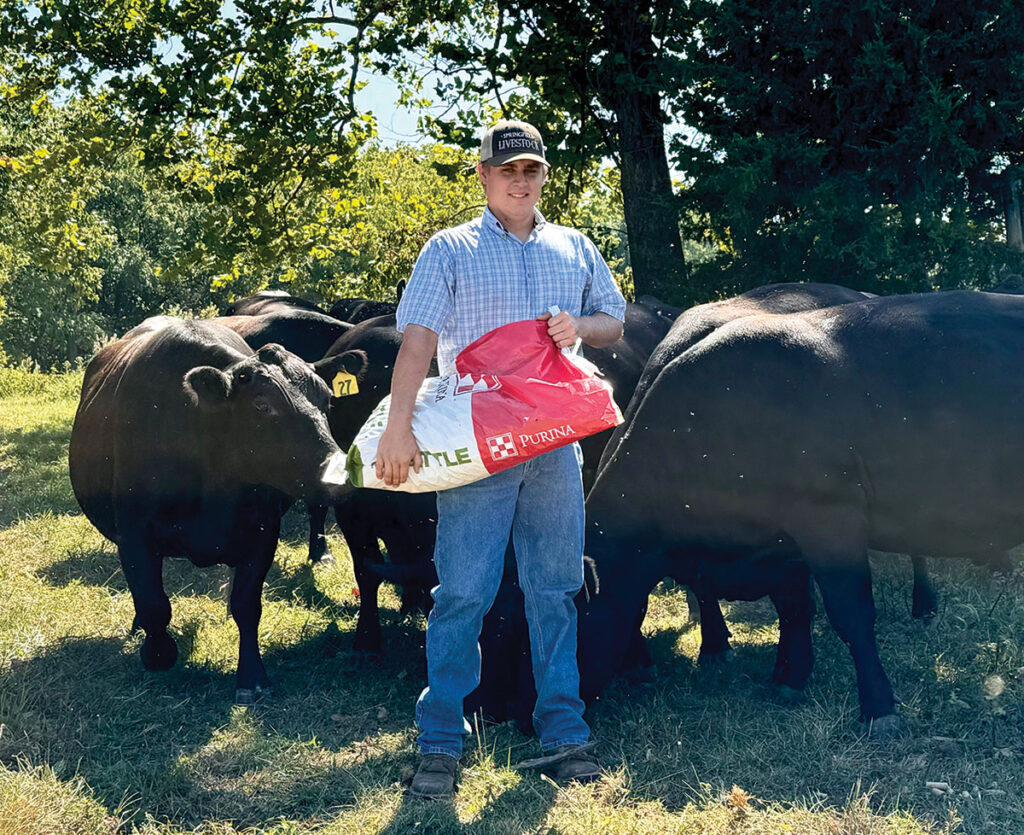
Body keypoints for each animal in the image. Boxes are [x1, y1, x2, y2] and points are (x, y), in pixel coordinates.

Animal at [67, 317, 364, 700]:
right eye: (262, 406)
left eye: (327, 399)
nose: (340, 475)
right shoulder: (134, 535)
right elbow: (153, 603)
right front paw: (157, 653)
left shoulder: (262, 532)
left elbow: (246, 605)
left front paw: (252, 675)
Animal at [577, 293, 1024, 737]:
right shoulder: (783, 541)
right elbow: (793, 608)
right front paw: (789, 679)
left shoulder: (828, 521)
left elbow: (851, 614)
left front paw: (878, 707)